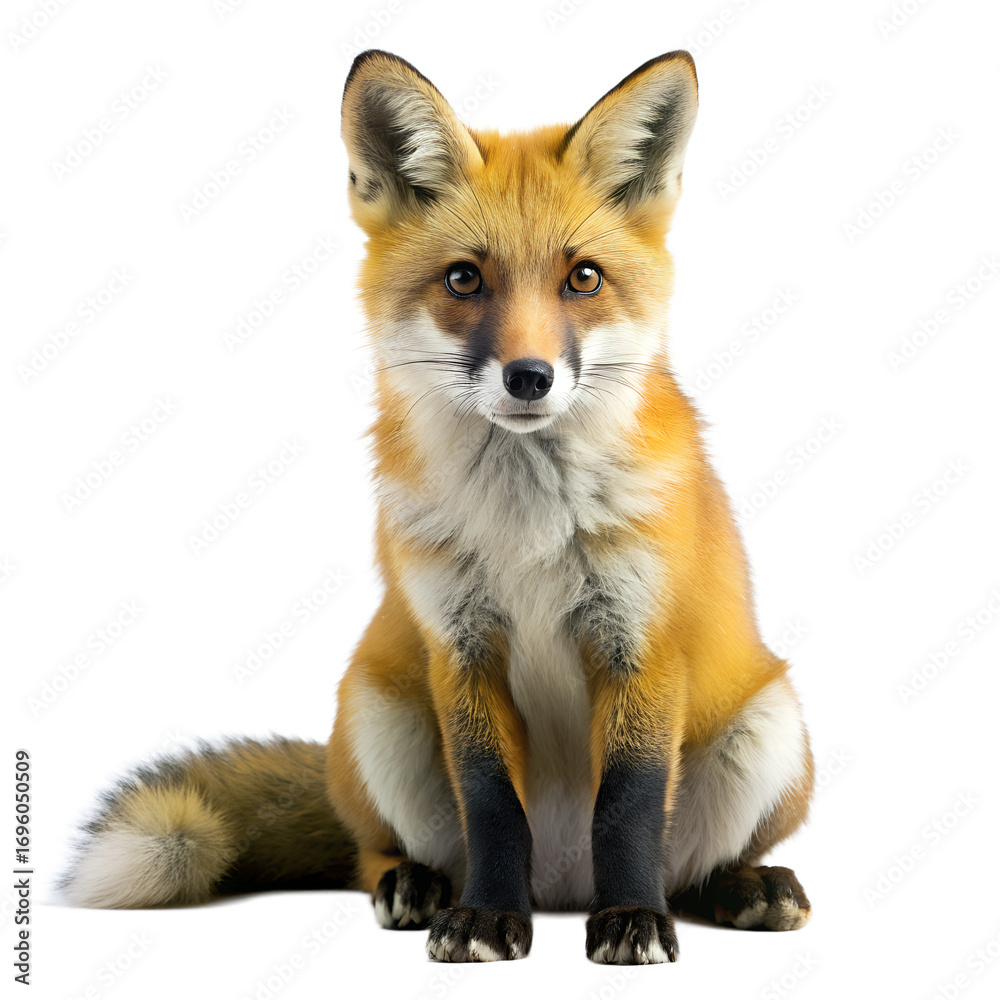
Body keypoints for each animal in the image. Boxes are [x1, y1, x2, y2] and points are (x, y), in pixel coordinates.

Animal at [60, 49, 814, 965]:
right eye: (464, 278)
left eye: (583, 278)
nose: (530, 377)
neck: (527, 533)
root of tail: (561, 887)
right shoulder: (460, 649)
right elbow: (491, 807)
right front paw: (487, 918)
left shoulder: (642, 646)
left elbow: (630, 808)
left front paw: (633, 918)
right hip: (377, 714)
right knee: (372, 852)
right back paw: (420, 886)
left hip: (769, 728)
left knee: (694, 866)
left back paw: (744, 887)